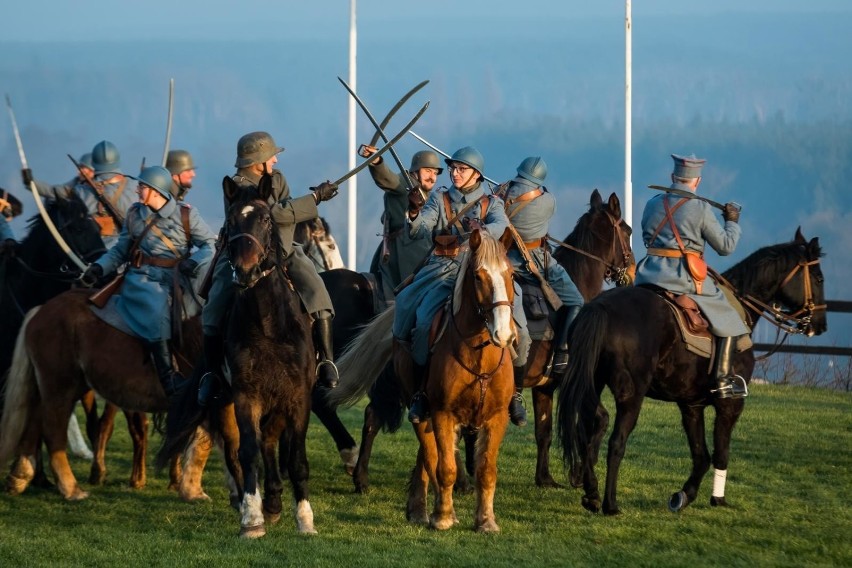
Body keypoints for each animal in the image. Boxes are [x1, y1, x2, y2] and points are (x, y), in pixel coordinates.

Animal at [0, 292, 206, 502]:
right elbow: (201, 445)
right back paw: (70, 488)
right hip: (60, 386)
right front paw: (192, 490)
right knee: (53, 430)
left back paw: (20, 476)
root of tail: (40, 310)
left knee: (35, 419)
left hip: (67, 387)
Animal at [556, 227, 828, 516]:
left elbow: (701, 455)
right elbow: (720, 453)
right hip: (631, 396)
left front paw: (684, 495)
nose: (820, 325)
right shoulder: (730, 404)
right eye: (819, 277)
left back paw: (591, 493)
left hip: (592, 385)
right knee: (616, 442)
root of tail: (600, 307)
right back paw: (610, 503)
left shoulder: (691, 405)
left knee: (589, 428)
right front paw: (717, 499)